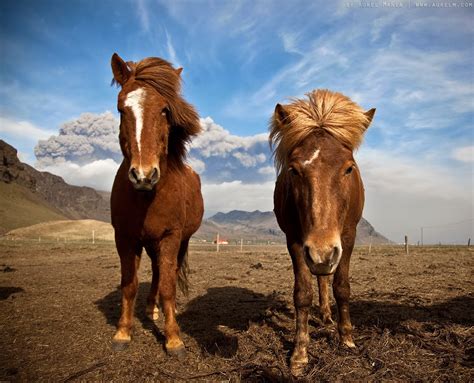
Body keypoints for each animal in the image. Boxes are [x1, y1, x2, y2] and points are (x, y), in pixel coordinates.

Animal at [109, 53, 204, 356]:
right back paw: (151, 310)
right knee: (155, 273)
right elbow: (129, 285)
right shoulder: (125, 238)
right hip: (150, 242)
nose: (143, 175)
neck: (146, 198)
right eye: (121, 109)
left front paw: (173, 338)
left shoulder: (170, 237)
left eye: (164, 110)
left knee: (166, 273)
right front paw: (123, 332)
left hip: (179, 241)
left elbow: (168, 286)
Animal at [270, 89, 378, 376]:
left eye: (349, 168)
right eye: (294, 169)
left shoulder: (348, 237)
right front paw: (299, 354)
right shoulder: (296, 241)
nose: (322, 251)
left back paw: (329, 315)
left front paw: (347, 339)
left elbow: (341, 287)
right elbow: (303, 293)